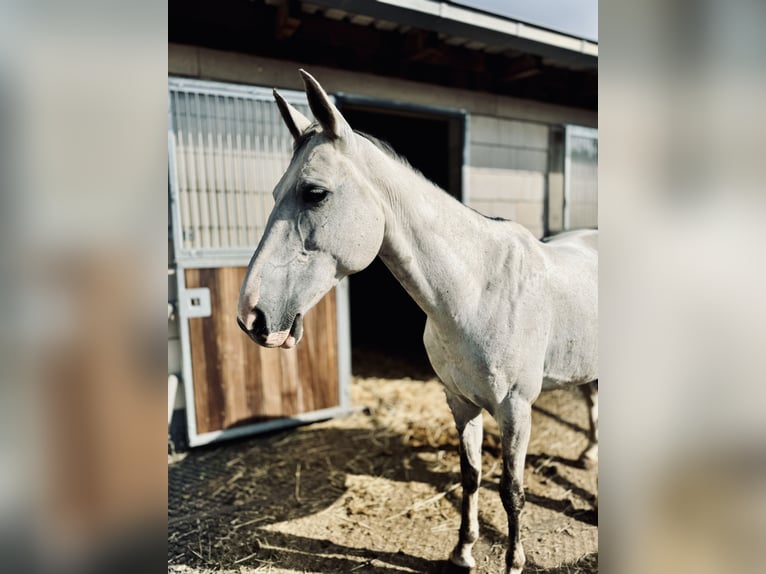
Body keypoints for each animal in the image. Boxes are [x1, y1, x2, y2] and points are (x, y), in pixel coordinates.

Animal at [236, 72, 600, 574]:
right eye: (274, 194)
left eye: (315, 193)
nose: (250, 315)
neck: (478, 289)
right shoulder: (460, 402)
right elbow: (471, 477)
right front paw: (463, 551)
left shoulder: (516, 409)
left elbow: (512, 491)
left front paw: (513, 562)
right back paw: (588, 457)